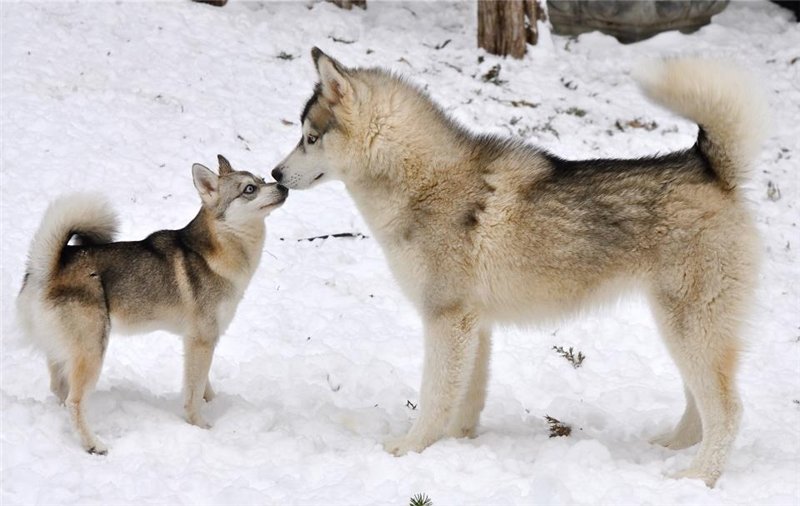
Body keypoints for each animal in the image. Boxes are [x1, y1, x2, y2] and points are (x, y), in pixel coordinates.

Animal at [16, 155, 288, 454]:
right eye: (249, 189)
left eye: (262, 180)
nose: (283, 186)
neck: (221, 247)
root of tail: (46, 268)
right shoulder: (201, 340)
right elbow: (193, 392)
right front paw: (200, 425)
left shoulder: (200, 340)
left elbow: (204, 384)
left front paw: (214, 402)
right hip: (92, 350)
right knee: (74, 402)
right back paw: (93, 444)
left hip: (65, 352)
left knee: (59, 391)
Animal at [272, 48, 764, 486]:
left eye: (310, 138)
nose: (275, 175)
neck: (422, 182)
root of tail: (709, 168)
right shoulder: (474, 326)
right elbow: (465, 400)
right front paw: (455, 446)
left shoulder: (446, 320)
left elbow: (434, 396)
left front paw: (411, 448)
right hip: (680, 329)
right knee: (700, 405)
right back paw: (671, 448)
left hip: (690, 327)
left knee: (728, 410)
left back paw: (697, 477)